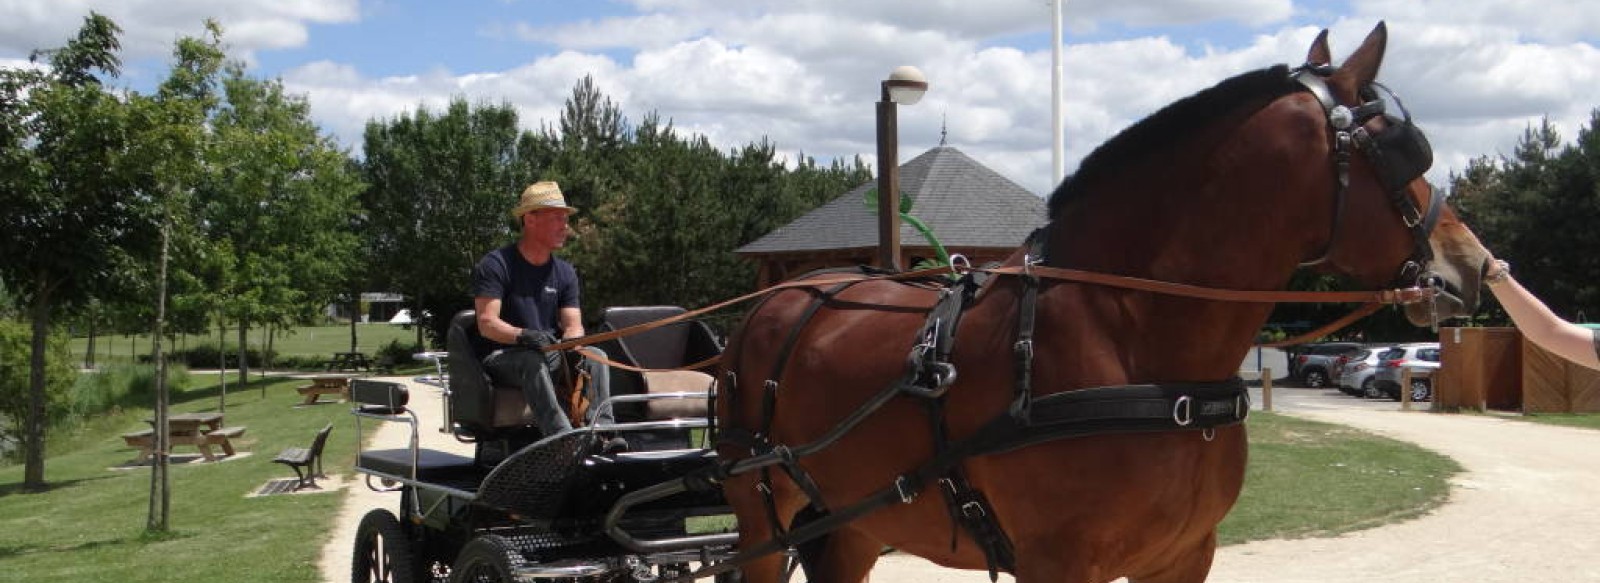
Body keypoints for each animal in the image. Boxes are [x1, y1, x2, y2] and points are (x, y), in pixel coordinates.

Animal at [713, 22, 1484, 583]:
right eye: (1402, 153)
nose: (1473, 266)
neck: (1139, 346)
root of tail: (772, 303)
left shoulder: (1182, 558)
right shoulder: (1057, 566)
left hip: (852, 521)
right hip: (762, 521)